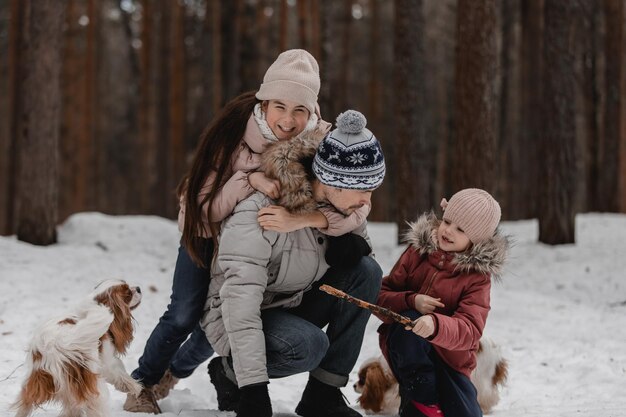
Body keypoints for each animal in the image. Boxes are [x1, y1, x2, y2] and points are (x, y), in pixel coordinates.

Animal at [12, 280, 142, 416]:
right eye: (128, 293)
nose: (138, 288)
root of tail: (55, 342)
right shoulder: (107, 362)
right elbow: (120, 374)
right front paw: (135, 387)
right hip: (95, 386)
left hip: (40, 381)